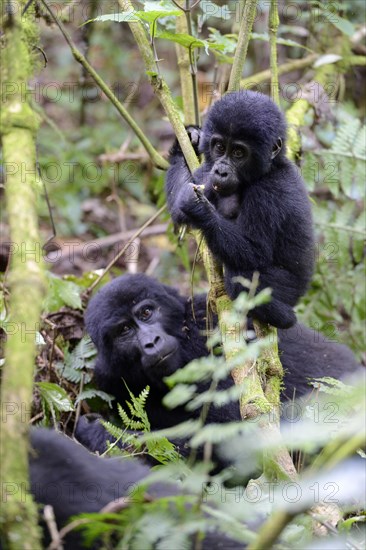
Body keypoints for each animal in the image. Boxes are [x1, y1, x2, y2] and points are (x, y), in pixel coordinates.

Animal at [75, 274, 360, 460]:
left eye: (146, 312)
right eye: (124, 330)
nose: (151, 342)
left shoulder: (203, 337)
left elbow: (240, 433)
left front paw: (96, 433)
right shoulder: (108, 376)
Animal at [166, 91, 314, 328]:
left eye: (238, 153)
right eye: (219, 147)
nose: (221, 171)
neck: (268, 169)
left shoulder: (268, 191)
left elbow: (255, 251)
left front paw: (199, 210)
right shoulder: (209, 172)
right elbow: (180, 208)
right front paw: (189, 138)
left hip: (291, 290)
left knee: (240, 273)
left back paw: (282, 317)